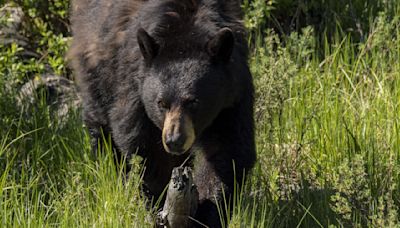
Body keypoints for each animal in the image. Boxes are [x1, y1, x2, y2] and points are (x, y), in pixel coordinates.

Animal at [69, 0, 256, 226]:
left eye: (194, 101)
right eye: (161, 103)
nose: (174, 140)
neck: (185, 32)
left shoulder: (232, 97)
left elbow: (228, 150)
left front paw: (208, 213)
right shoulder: (134, 88)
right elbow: (146, 149)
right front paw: (158, 206)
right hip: (95, 66)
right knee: (100, 124)